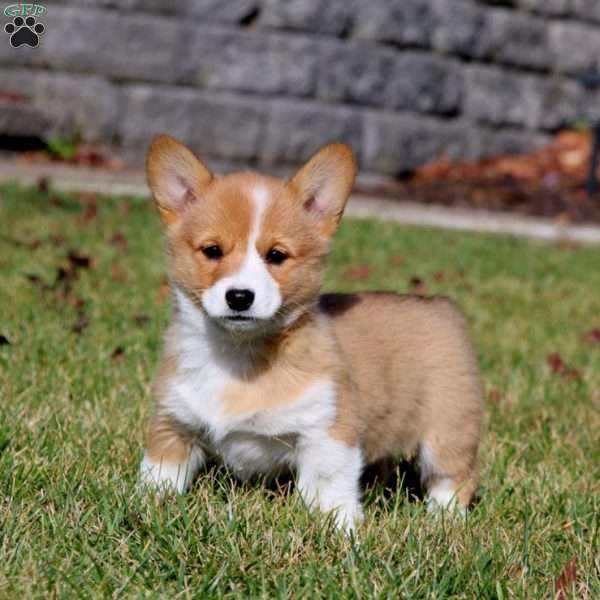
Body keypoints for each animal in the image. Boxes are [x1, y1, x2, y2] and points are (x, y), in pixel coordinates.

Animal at [137, 135, 482, 528]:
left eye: (276, 255)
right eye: (212, 250)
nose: (239, 297)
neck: (238, 357)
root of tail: (442, 306)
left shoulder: (328, 433)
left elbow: (329, 491)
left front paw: (342, 531)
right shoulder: (173, 426)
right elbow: (158, 476)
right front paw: (145, 509)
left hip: (448, 429)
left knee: (455, 477)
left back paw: (444, 519)